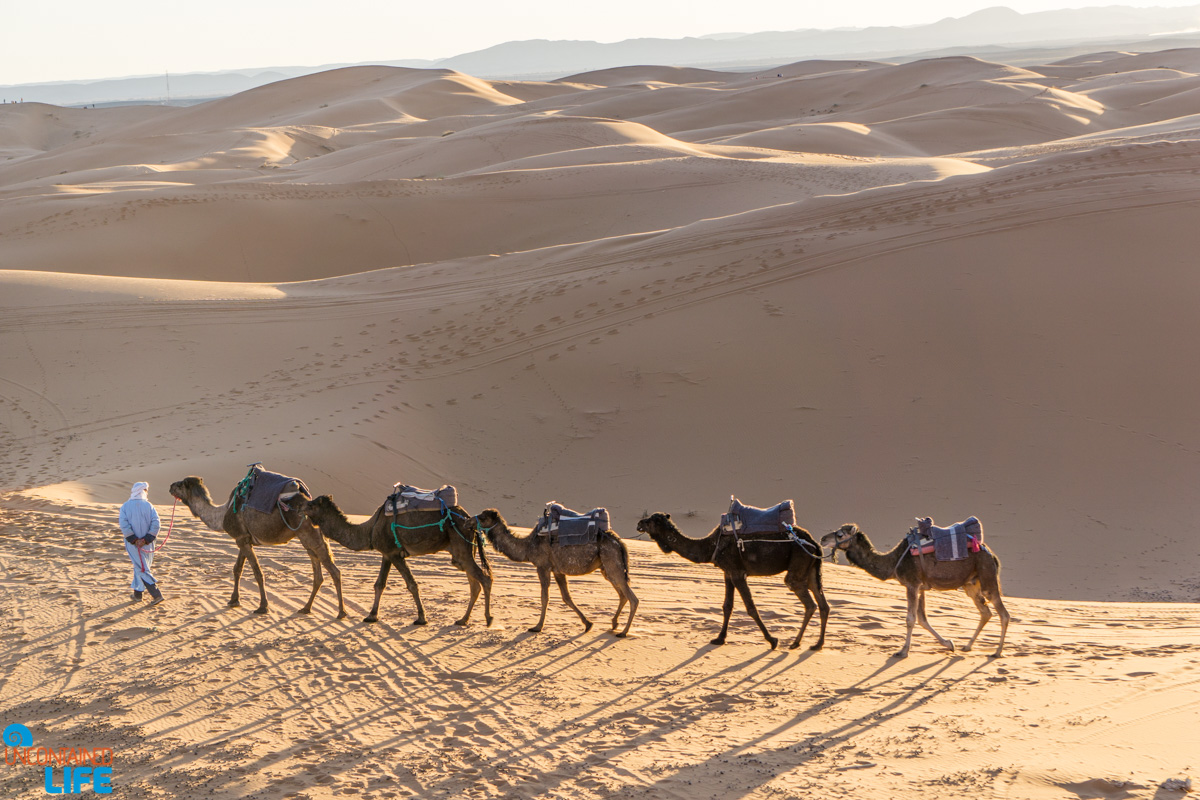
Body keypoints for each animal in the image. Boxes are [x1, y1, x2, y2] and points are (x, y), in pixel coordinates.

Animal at [165, 474, 343, 618]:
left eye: (181, 484)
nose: (170, 485)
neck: (221, 514)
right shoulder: (243, 539)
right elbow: (237, 569)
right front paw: (233, 600)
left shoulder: (241, 539)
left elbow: (257, 572)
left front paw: (263, 607)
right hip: (309, 537)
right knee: (318, 574)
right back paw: (306, 608)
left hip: (308, 534)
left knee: (334, 571)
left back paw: (341, 612)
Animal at [294, 494, 492, 633]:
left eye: (311, 504)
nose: (298, 506)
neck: (369, 529)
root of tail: (468, 518)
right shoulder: (387, 554)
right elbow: (379, 584)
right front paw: (372, 615)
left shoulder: (395, 554)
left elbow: (412, 584)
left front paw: (421, 618)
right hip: (462, 550)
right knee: (474, 583)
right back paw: (463, 620)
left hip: (460, 546)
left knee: (485, 578)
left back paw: (488, 619)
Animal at [472, 510, 638, 633]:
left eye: (483, 516)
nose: (469, 521)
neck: (528, 546)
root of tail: (618, 541)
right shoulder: (558, 570)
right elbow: (566, 597)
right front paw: (588, 624)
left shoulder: (542, 566)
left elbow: (544, 597)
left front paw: (537, 627)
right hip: (606, 567)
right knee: (622, 594)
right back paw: (614, 624)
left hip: (612, 561)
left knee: (632, 597)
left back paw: (624, 632)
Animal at [638, 513, 825, 652]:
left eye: (651, 520)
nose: (639, 523)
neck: (710, 546)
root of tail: (814, 543)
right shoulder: (727, 572)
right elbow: (727, 606)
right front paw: (719, 638)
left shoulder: (737, 572)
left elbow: (751, 608)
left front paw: (772, 640)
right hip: (812, 569)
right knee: (822, 604)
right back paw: (816, 644)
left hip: (799, 562)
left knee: (808, 602)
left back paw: (796, 642)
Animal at [820, 522, 1008, 662]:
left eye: (840, 535)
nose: (822, 539)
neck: (893, 561)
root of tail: (991, 555)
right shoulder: (920, 587)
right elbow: (922, 619)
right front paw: (949, 643)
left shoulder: (912, 584)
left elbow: (910, 619)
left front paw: (902, 652)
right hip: (970, 583)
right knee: (985, 612)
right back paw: (967, 646)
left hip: (987, 575)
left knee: (1003, 613)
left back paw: (997, 652)